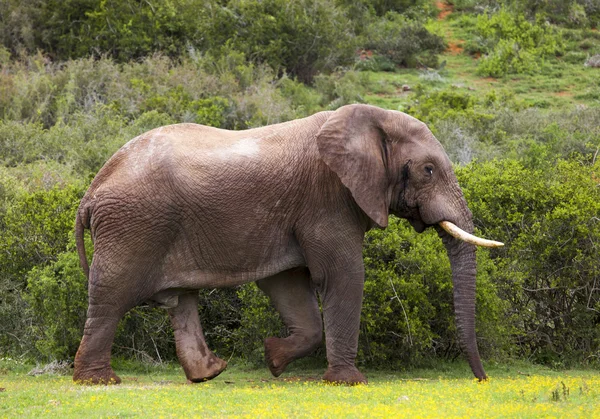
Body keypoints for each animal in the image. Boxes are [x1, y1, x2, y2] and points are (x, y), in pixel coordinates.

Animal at [71, 103, 502, 386]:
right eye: (427, 170)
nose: (481, 380)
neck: (368, 119)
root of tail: (92, 190)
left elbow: (289, 284)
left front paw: (273, 359)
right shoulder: (327, 199)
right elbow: (343, 275)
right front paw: (349, 383)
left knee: (180, 301)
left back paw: (210, 373)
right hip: (134, 225)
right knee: (111, 297)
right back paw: (98, 382)